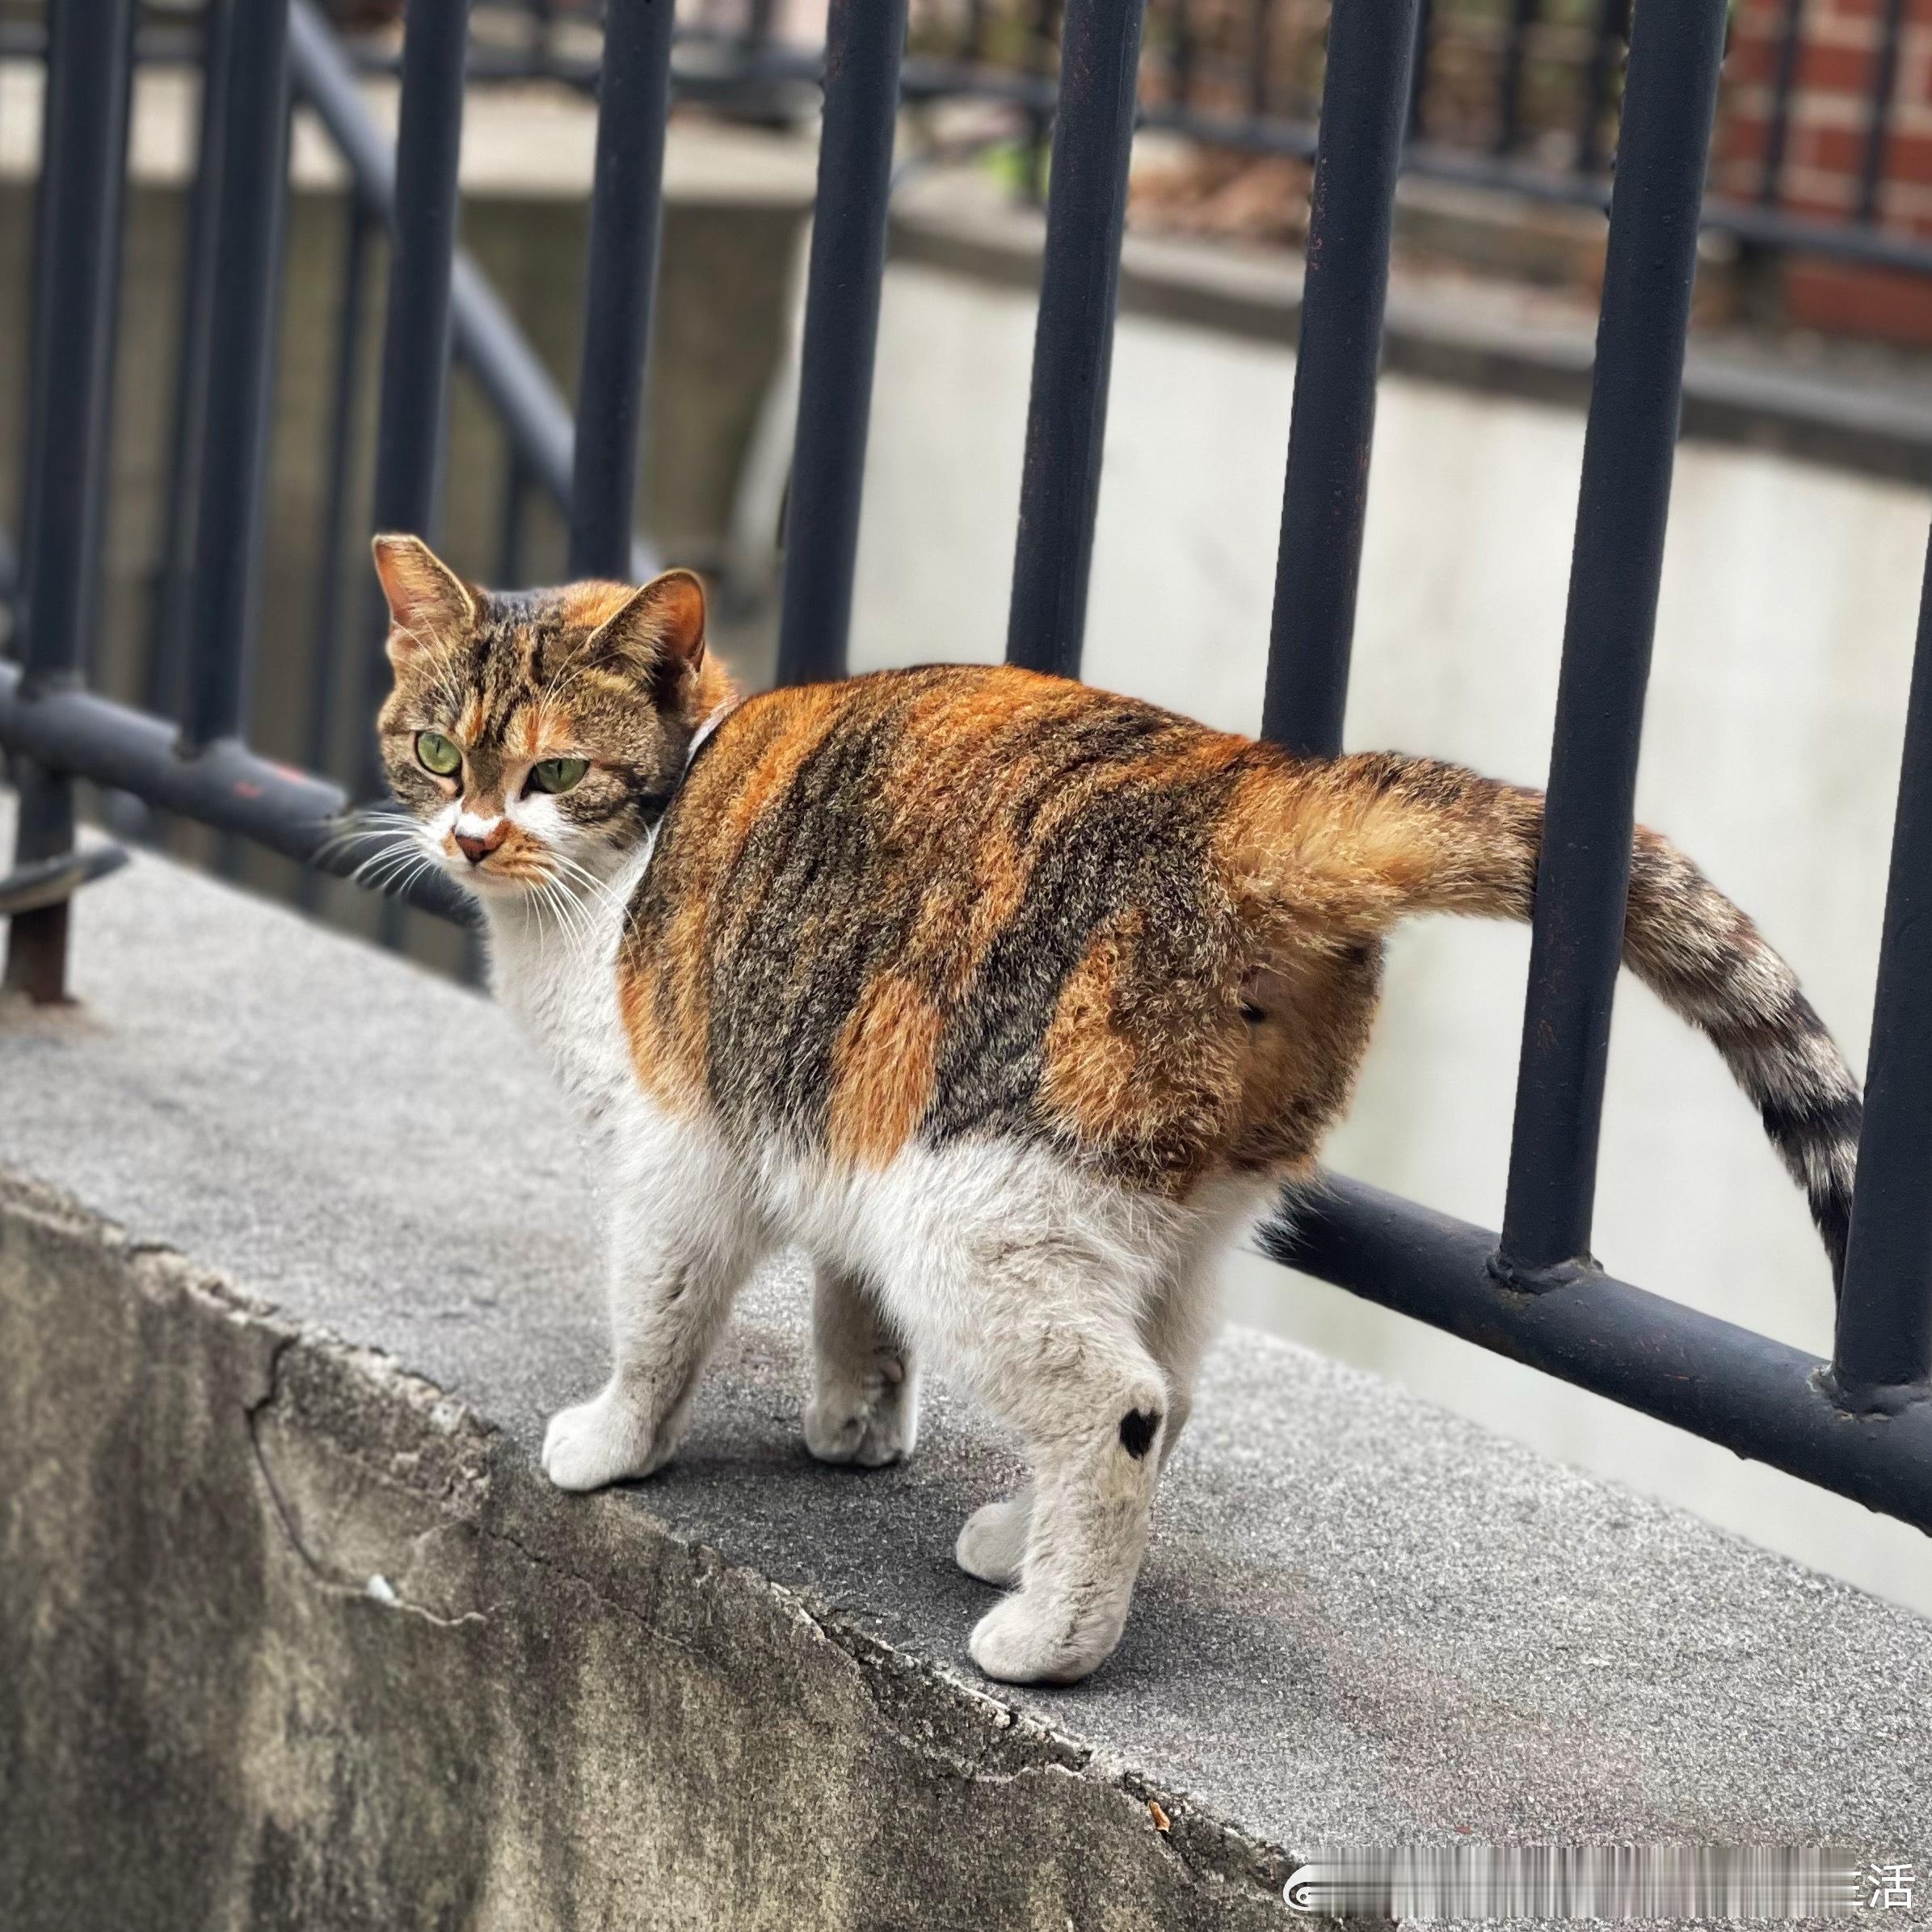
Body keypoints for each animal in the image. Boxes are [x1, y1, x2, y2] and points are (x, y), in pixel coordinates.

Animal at [368, 537, 1862, 1684]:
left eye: (555, 774)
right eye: (436, 751)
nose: (472, 838)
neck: (616, 874)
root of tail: (1256, 801)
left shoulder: (678, 1153)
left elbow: (659, 1317)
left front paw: (612, 1442)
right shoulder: (831, 1112)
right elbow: (854, 1306)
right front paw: (854, 1421)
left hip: (974, 1203)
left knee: (1120, 1403)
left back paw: (1052, 1634)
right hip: (1162, 1211)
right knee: (1176, 1377)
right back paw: (1014, 1539)